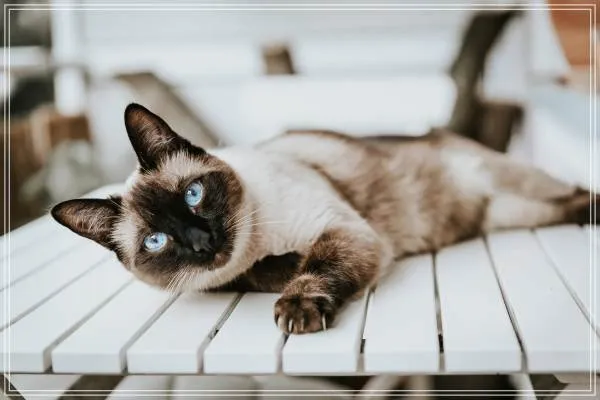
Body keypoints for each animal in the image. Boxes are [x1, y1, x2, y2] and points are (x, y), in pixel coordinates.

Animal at [52, 103, 598, 334]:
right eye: (157, 242)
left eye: (193, 194)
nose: (202, 241)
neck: (256, 247)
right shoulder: (234, 276)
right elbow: (268, 272)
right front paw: (279, 271)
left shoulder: (344, 231)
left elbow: (314, 268)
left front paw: (297, 308)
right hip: (510, 214)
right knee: (562, 205)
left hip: (517, 187)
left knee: (574, 191)